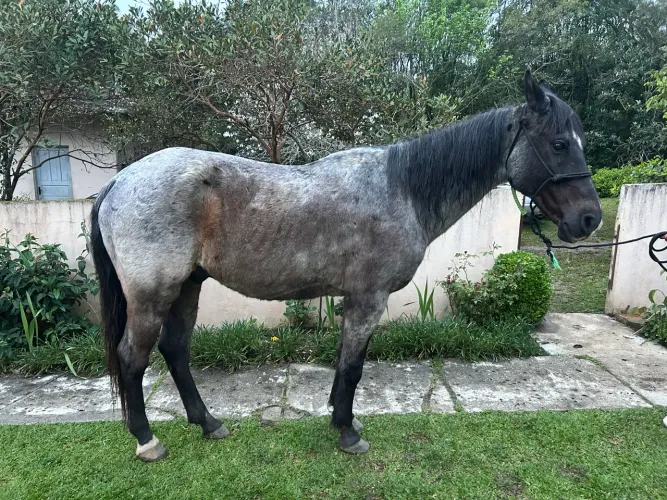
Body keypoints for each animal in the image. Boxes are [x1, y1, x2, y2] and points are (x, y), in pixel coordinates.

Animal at [90, 70, 602, 461]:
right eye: (560, 143)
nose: (589, 219)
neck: (402, 190)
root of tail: (121, 180)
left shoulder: (354, 300)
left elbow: (343, 363)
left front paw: (338, 419)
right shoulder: (368, 299)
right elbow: (353, 367)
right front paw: (349, 432)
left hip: (188, 287)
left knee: (175, 351)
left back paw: (209, 423)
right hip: (153, 295)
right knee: (134, 357)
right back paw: (148, 441)